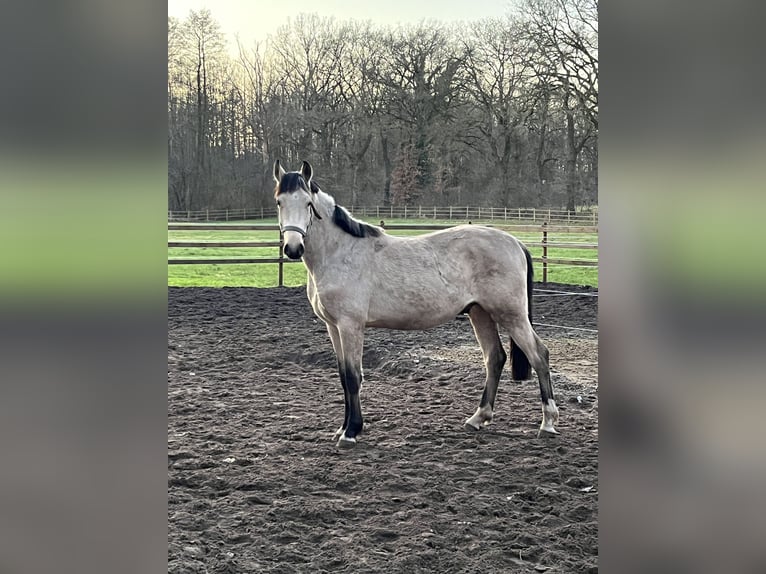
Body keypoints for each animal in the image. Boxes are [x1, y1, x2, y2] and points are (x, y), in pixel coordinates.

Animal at [272, 159, 560, 450]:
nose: (293, 248)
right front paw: (342, 428)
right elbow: (343, 377)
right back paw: (478, 418)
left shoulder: (350, 326)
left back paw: (547, 423)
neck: (341, 252)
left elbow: (353, 378)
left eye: (308, 203)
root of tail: (515, 242)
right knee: (495, 358)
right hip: (480, 314)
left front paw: (351, 432)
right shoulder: (333, 327)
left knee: (539, 355)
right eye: (279, 202)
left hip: (511, 315)